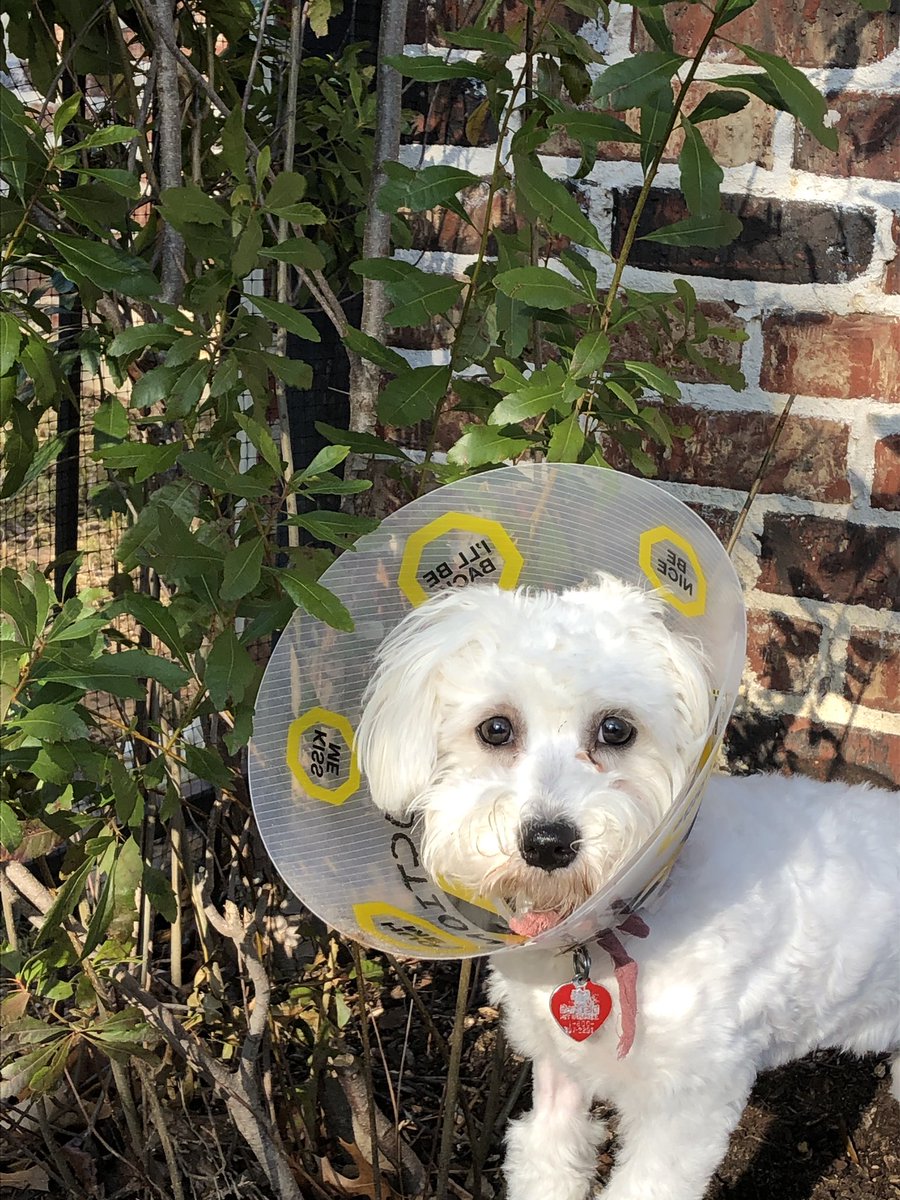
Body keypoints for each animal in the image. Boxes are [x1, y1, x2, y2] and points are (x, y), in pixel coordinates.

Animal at [357, 576, 900, 1195]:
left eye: (616, 729)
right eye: (495, 728)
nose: (548, 842)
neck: (617, 926)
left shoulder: (688, 1105)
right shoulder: (560, 1069)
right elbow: (546, 1156)